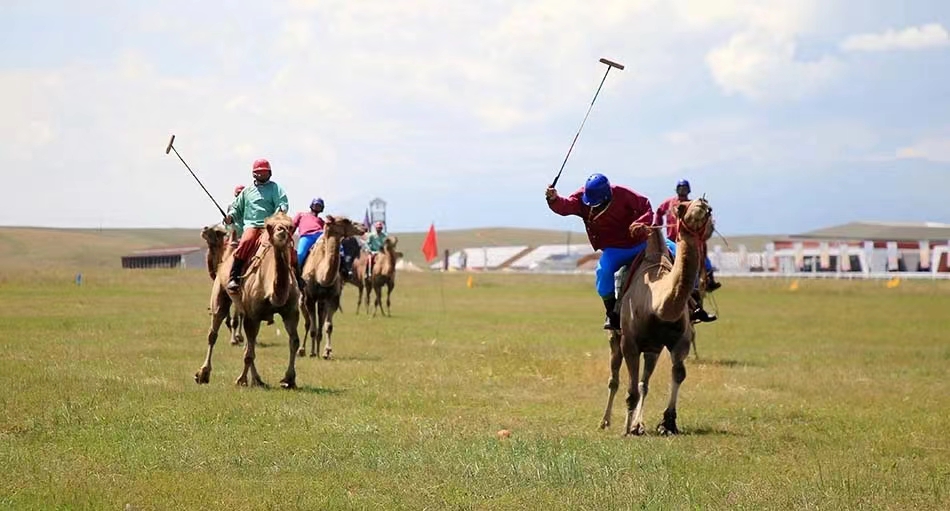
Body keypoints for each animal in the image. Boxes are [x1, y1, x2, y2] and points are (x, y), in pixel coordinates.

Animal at [197, 210, 304, 390]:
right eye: (269, 226)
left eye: (291, 226)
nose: (281, 232)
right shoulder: (252, 315)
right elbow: (249, 352)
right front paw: (241, 380)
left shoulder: (291, 312)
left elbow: (294, 342)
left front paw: (289, 379)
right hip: (221, 294)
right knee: (213, 333)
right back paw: (203, 374)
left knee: (249, 343)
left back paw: (257, 380)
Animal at [302, 216, 368, 360]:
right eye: (345, 220)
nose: (364, 227)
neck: (321, 275)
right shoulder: (309, 298)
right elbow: (312, 327)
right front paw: (311, 352)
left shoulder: (333, 298)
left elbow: (328, 326)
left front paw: (327, 352)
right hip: (302, 299)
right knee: (308, 323)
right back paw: (304, 350)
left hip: (322, 301)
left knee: (320, 321)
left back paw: (317, 350)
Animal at [604, 198, 712, 438]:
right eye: (681, 207)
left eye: (710, 210)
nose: (702, 203)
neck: (658, 303)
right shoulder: (630, 343)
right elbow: (630, 391)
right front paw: (626, 430)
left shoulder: (680, 341)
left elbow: (678, 373)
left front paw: (667, 423)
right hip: (616, 338)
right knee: (614, 378)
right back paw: (605, 421)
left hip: (653, 348)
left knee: (644, 382)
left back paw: (639, 425)